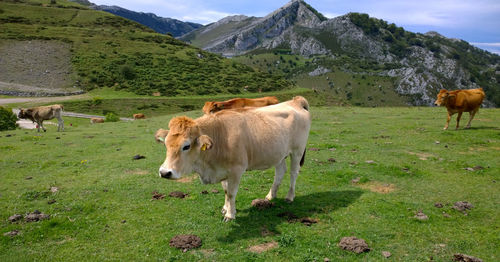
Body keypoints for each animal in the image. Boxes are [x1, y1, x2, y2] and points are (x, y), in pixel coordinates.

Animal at [157, 96, 312, 221]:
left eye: (186, 146)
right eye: (166, 144)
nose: (165, 172)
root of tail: (295, 101)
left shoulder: (236, 170)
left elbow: (231, 193)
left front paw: (230, 215)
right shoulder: (222, 169)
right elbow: (226, 191)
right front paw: (226, 208)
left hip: (297, 151)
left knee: (293, 173)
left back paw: (289, 196)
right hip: (279, 153)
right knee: (280, 172)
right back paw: (270, 196)